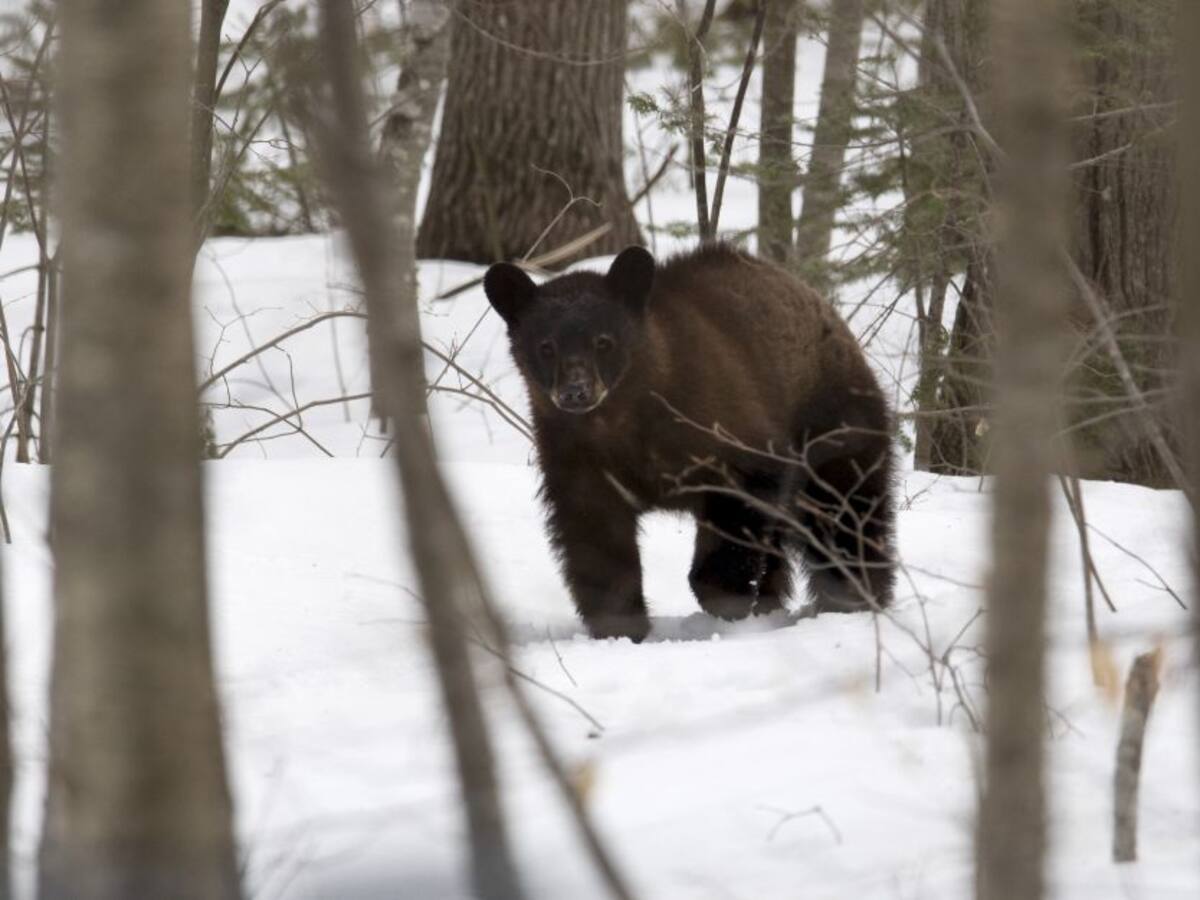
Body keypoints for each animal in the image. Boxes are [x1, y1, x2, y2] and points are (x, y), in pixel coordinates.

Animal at [484, 244, 895, 641]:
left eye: (603, 341)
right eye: (545, 346)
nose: (575, 392)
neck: (623, 420)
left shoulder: (722, 429)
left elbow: (739, 508)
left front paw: (723, 597)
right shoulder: (578, 459)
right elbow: (597, 541)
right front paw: (620, 626)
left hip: (832, 420)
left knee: (846, 511)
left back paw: (853, 597)